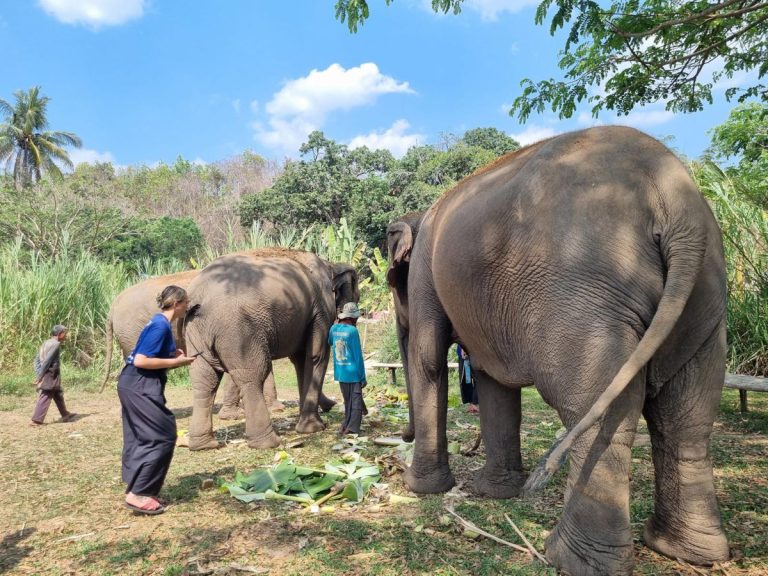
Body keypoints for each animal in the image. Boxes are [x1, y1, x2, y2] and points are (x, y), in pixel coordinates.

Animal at [185, 247, 358, 450]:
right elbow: (316, 355)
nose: (332, 404)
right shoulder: (321, 309)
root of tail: (198, 297)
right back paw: (268, 442)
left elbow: (300, 360)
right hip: (238, 330)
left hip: (196, 333)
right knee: (252, 375)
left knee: (204, 380)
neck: (330, 264)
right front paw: (314, 428)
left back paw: (203, 445)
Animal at [385, 126, 730, 575]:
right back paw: (683, 550)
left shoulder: (427, 271)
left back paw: (570, 558)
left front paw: (420, 488)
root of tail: (677, 205)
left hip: (583, 296)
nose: (401, 436)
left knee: (594, 408)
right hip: (704, 297)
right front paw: (495, 491)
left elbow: (427, 360)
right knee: (687, 415)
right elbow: (492, 378)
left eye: (393, 282)